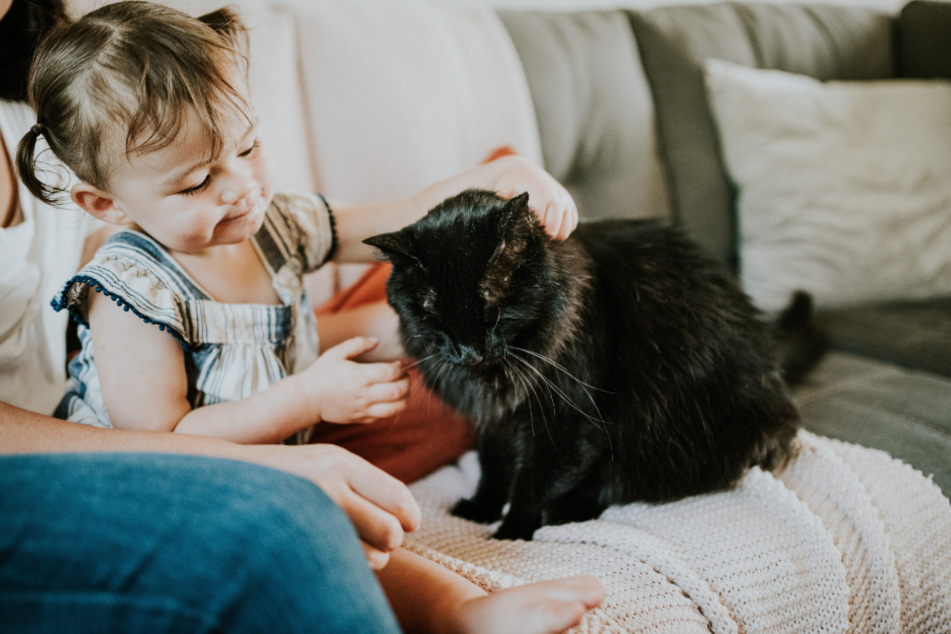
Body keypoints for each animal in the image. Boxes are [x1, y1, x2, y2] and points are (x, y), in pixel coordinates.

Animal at [368, 188, 816, 540]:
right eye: (433, 315)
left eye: (491, 311)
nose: (467, 352)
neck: (496, 379)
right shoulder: (496, 422)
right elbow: (493, 468)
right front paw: (481, 509)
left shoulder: (568, 423)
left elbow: (531, 483)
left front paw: (512, 532)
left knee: (627, 484)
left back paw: (562, 511)